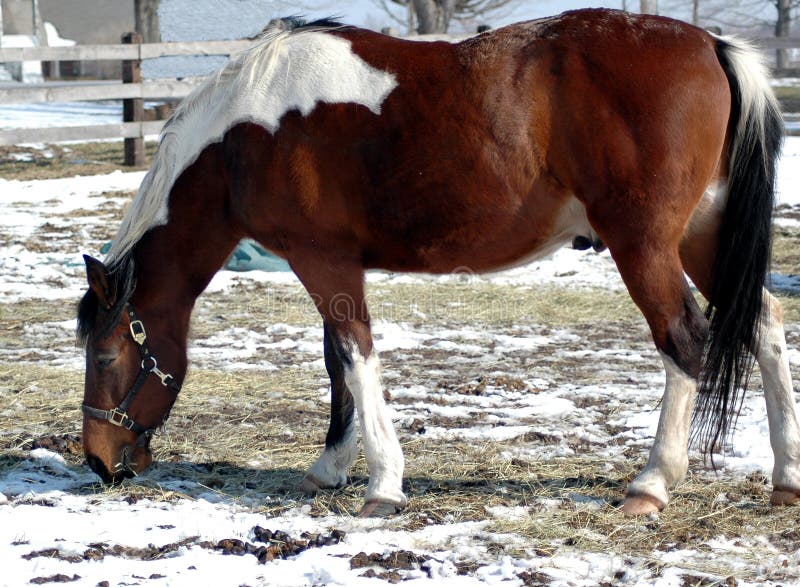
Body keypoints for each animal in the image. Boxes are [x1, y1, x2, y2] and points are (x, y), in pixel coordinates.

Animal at [77, 9, 797, 517]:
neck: (245, 136)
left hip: (643, 245)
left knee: (685, 340)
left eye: (106, 356)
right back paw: (786, 476)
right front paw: (331, 467)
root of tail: (711, 46)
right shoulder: (334, 264)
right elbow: (336, 360)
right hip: (702, 237)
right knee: (764, 324)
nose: (99, 462)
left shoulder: (323, 261)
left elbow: (356, 356)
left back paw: (652, 482)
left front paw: (382, 484)